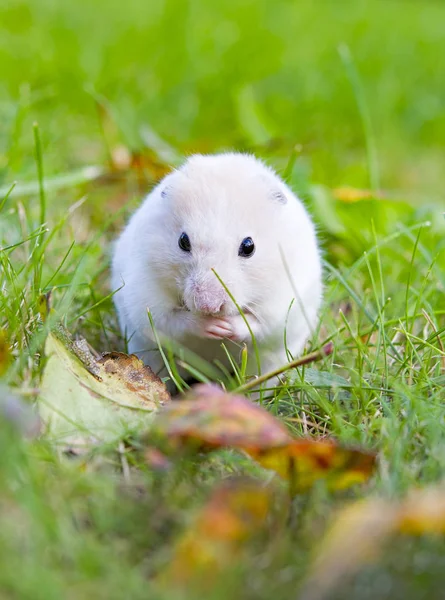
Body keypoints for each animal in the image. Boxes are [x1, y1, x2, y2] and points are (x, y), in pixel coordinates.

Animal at [110, 152, 320, 392]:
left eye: (249, 246)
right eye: (183, 241)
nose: (209, 306)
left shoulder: (282, 306)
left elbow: (257, 324)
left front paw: (227, 327)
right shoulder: (147, 302)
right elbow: (175, 322)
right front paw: (214, 326)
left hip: (269, 363)